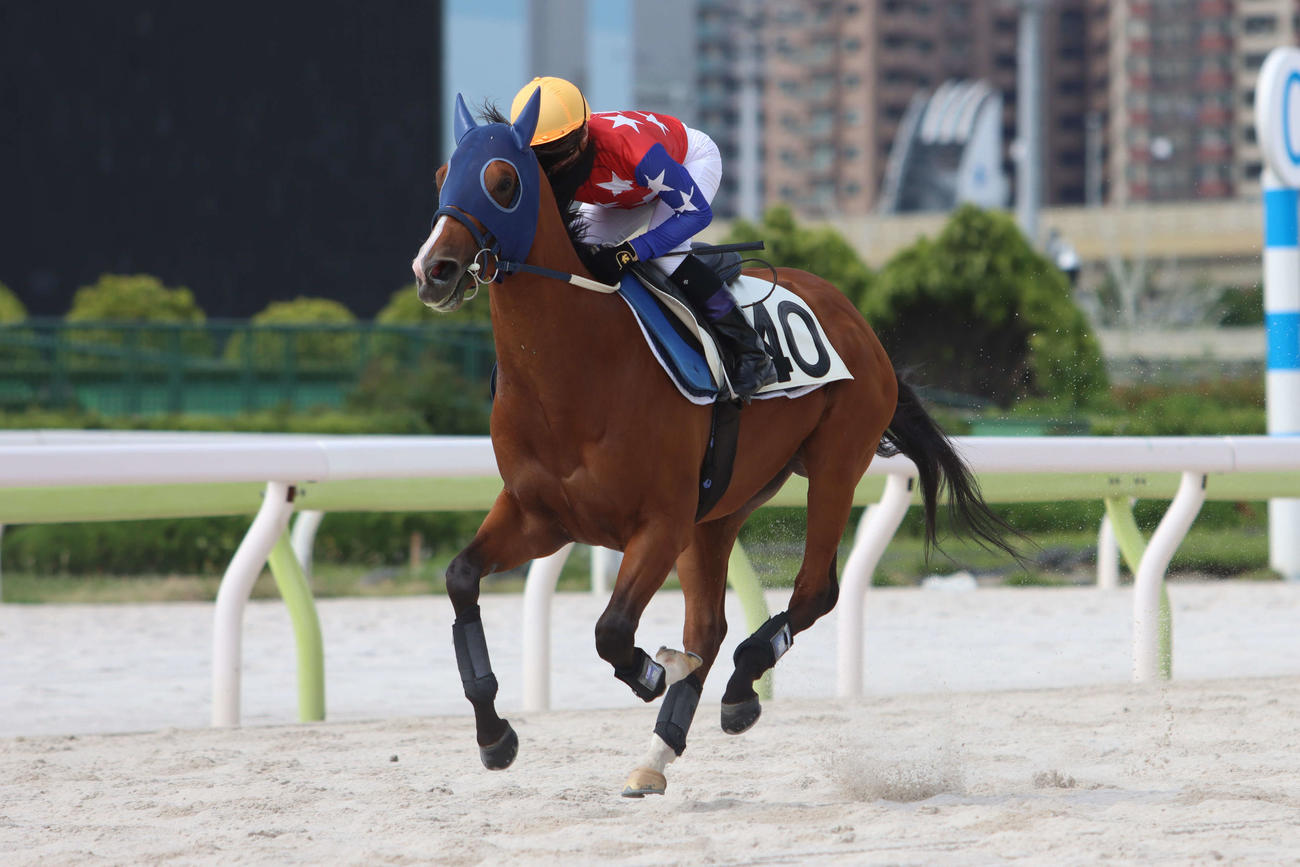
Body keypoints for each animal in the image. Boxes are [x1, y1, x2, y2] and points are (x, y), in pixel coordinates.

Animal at [411, 90, 1015, 797]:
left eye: (502, 182)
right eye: (441, 176)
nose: (433, 270)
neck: (577, 371)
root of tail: (854, 317)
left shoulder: (659, 523)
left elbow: (612, 630)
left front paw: (653, 672)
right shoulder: (541, 516)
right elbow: (460, 579)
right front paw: (495, 735)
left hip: (835, 464)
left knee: (815, 592)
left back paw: (739, 687)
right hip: (721, 508)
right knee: (711, 622)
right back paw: (660, 750)